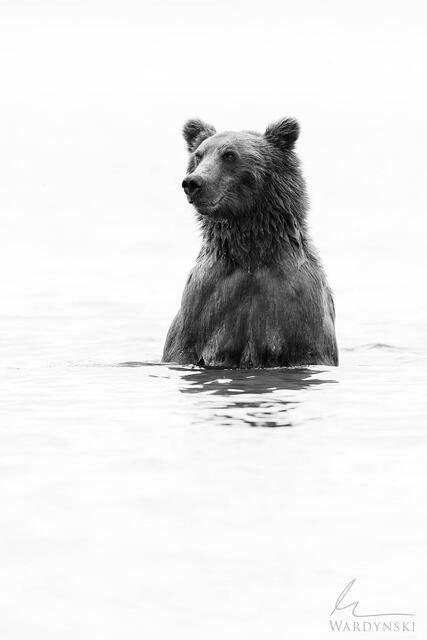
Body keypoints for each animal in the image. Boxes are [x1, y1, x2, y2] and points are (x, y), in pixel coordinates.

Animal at [162, 117, 338, 368]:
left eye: (229, 155)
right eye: (198, 155)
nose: (193, 182)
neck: (250, 254)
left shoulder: (299, 306)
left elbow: (309, 347)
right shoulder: (202, 305)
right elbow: (182, 346)